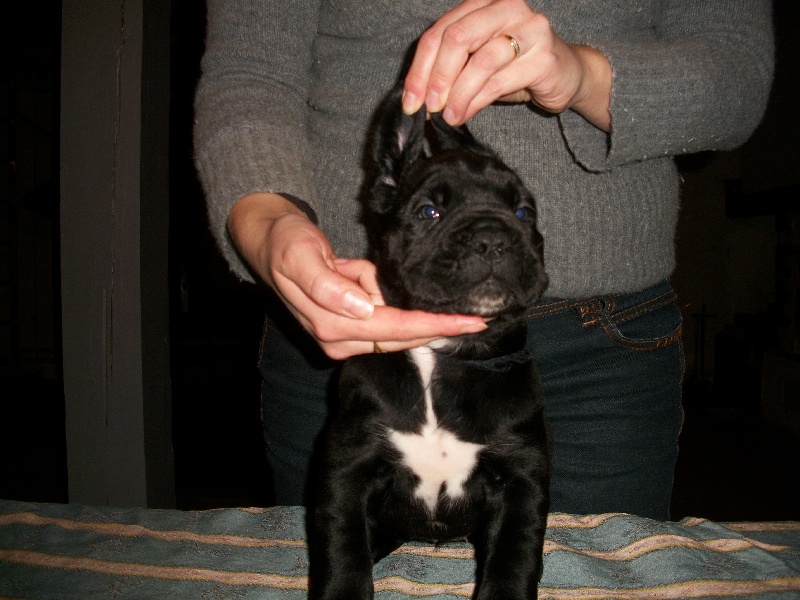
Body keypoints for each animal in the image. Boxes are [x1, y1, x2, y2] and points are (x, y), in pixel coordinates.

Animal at [310, 89, 552, 600]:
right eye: (429, 212)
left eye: (525, 213)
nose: (493, 237)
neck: (442, 351)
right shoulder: (347, 468)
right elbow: (343, 550)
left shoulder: (521, 476)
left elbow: (513, 556)